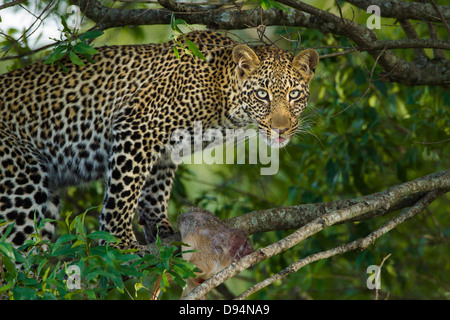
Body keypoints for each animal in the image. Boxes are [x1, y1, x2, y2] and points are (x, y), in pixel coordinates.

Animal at [0, 30, 318, 250]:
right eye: (262, 94)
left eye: (294, 95)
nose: (281, 130)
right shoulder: (136, 127)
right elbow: (123, 193)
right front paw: (118, 242)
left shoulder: (165, 150)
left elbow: (155, 190)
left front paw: (161, 228)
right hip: (21, 180)